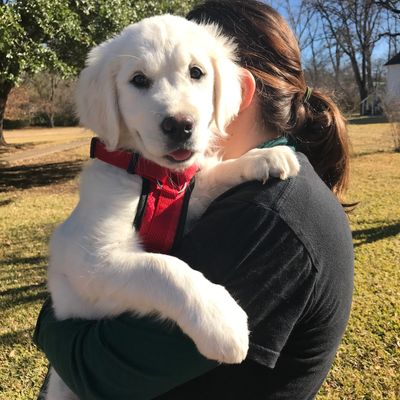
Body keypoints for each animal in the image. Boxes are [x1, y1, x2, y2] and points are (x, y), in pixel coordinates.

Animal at [45, 14, 298, 398]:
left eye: (196, 72)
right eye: (138, 80)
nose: (180, 125)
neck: (158, 178)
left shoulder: (188, 198)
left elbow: (208, 175)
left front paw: (265, 157)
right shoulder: (89, 260)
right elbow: (162, 267)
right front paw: (222, 322)